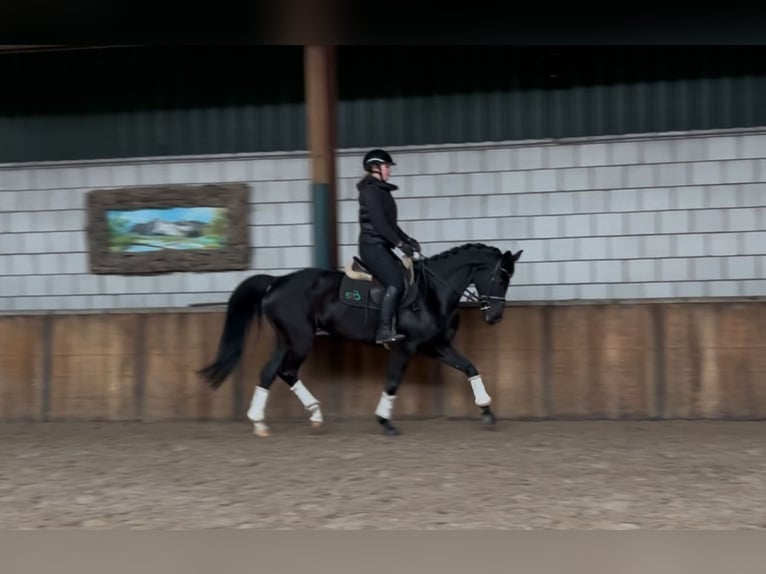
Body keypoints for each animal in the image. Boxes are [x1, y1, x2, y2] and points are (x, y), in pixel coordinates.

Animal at [195, 242, 524, 436]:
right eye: (500, 277)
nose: (495, 317)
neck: (432, 291)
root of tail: (277, 282)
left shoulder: (437, 346)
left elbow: (470, 367)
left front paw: (487, 409)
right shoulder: (407, 347)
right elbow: (392, 381)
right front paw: (384, 420)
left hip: (287, 340)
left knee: (271, 372)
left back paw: (268, 420)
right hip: (299, 340)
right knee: (285, 371)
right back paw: (301, 415)